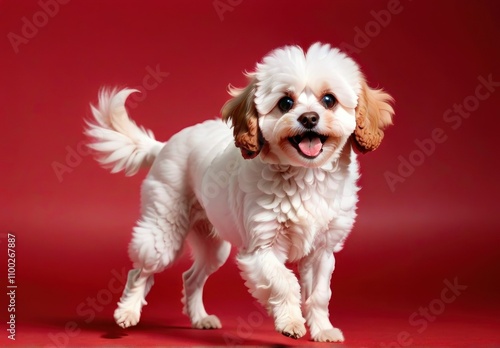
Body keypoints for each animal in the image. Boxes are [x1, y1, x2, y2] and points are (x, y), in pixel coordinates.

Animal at [85, 41, 394, 342]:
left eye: (329, 100)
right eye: (285, 103)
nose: (308, 118)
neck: (306, 176)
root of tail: (163, 146)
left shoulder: (322, 252)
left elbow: (319, 295)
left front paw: (322, 330)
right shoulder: (261, 250)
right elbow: (285, 283)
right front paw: (290, 321)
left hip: (213, 246)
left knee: (190, 277)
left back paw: (199, 319)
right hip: (163, 235)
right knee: (140, 272)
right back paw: (127, 312)